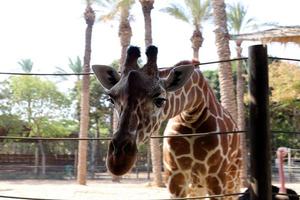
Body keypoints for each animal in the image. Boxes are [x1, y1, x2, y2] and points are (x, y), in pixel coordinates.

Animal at [92, 45, 240, 198]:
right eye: (111, 99)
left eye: (160, 100)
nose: (118, 160)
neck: (192, 114)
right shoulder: (174, 177)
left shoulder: (216, 177)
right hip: (197, 186)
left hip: (233, 177)